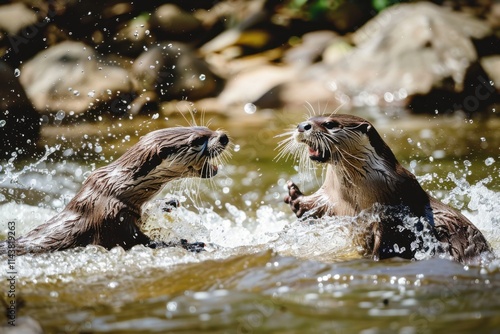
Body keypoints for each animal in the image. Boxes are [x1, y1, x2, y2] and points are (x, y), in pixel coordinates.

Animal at [0, 126, 229, 254]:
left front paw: (166, 203)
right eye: (198, 140)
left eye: (206, 128)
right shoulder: (111, 217)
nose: (223, 136)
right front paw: (189, 245)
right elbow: (143, 243)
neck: (118, 187)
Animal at [278, 114, 492, 264]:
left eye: (330, 124)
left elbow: (388, 240)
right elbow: (318, 204)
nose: (302, 126)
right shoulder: (332, 197)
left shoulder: (390, 213)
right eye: (310, 119)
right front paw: (294, 197)